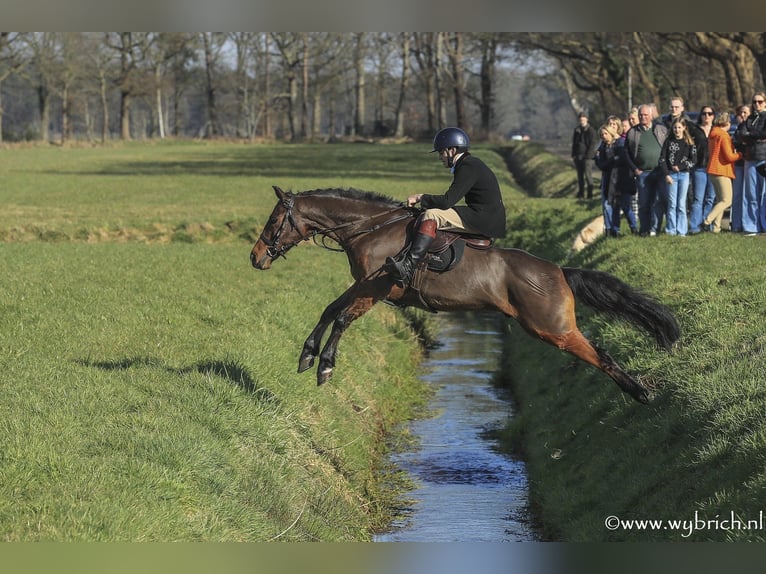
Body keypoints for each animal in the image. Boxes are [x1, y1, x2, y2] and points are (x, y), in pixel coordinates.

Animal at [250, 186, 681, 404]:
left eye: (274, 220)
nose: (255, 258)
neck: (370, 227)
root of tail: (560, 270)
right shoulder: (363, 285)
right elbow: (329, 310)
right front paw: (307, 355)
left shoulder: (376, 286)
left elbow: (341, 317)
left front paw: (324, 366)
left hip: (552, 327)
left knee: (600, 355)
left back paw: (639, 392)